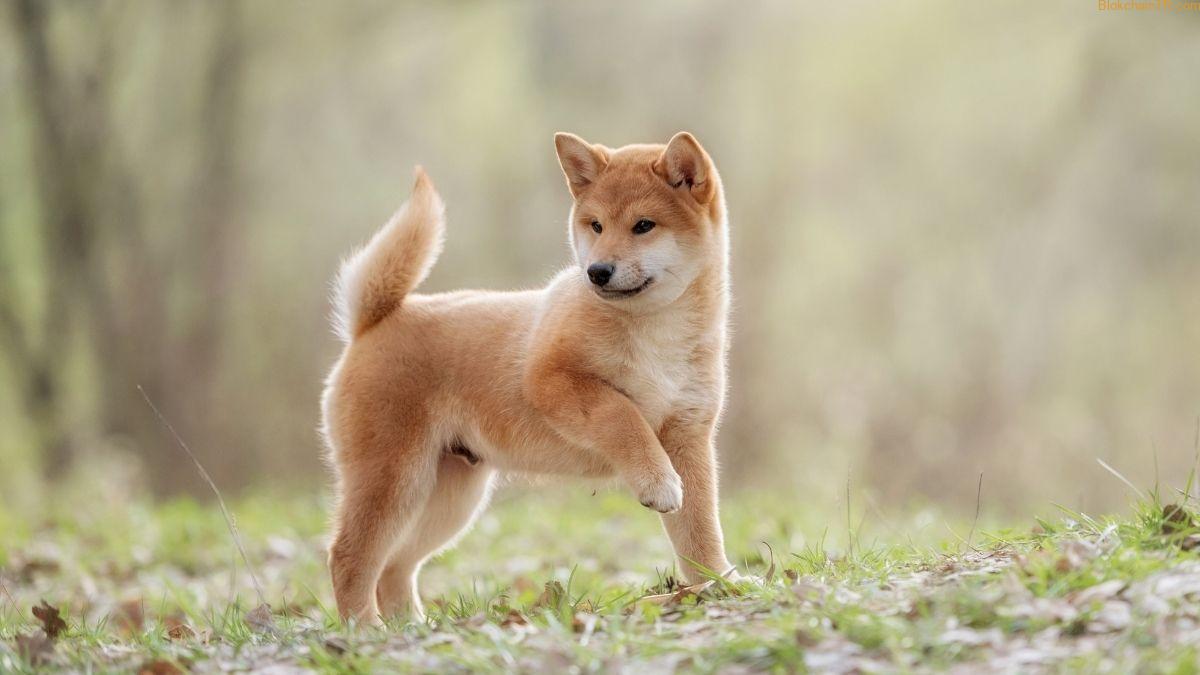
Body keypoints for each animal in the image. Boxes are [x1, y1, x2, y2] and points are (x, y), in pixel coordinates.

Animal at [324, 130, 739, 619]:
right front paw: (657, 482)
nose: (597, 271)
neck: (656, 330)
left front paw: (719, 584)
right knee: (349, 558)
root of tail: (371, 323)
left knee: (395, 567)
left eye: (644, 225)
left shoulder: (689, 435)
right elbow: (621, 415)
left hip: (448, 497)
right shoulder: (551, 379)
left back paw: (410, 627)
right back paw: (364, 628)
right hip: (392, 479)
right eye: (596, 226)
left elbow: (700, 533)